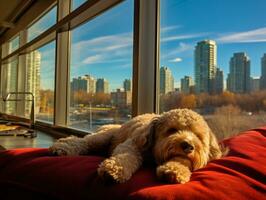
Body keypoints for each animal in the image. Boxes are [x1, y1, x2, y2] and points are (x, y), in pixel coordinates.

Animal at [48, 108, 223, 184]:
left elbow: (181, 162)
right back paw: (62, 147)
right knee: (83, 141)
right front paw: (114, 170)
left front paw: (174, 171)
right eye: (172, 130)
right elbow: (127, 157)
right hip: (103, 137)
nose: (188, 145)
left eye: (198, 136)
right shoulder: (131, 145)